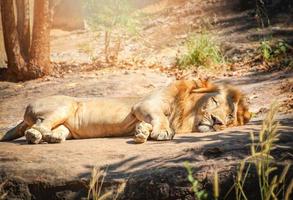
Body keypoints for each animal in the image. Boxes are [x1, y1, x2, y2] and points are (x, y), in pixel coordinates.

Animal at [0, 79, 250, 145]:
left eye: (230, 116)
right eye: (214, 100)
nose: (217, 120)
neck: (186, 113)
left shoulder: (144, 113)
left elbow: (147, 124)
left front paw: (142, 132)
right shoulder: (145, 105)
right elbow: (161, 119)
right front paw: (160, 133)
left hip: (67, 125)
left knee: (54, 129)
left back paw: (52, 137)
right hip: (65, 105)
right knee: (36, 126)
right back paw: (36, 135)